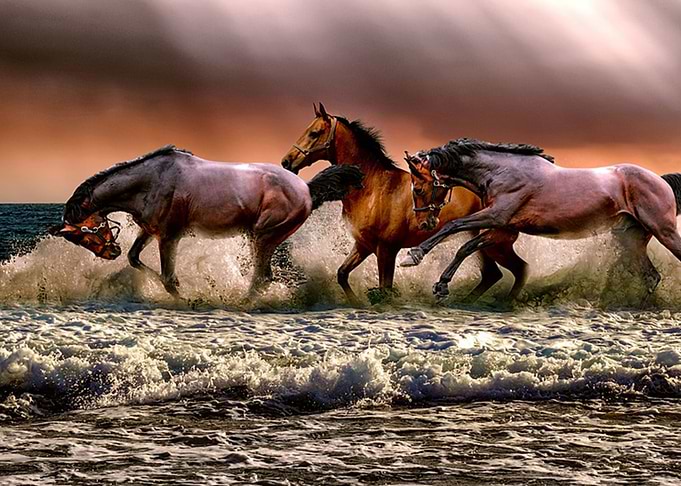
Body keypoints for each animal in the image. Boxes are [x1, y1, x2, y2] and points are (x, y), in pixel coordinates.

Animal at [50, 145, 364, 297]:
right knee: (263, 278)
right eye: (78, 238)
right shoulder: (150, 231)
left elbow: (168, 279)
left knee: (261, 278)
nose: (109, 252)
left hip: (263, 237)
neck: (150, 182)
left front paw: (188, 299)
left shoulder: (169, 237)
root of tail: (307, 189)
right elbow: (135, 259)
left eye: (86, 231)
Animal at [281, 103, 529, 304]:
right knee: (496, 273)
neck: (373, 188)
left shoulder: (386, 250)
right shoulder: (363, 246)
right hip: (485, 244)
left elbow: (385, 290)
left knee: (514, 270)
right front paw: (356, 303)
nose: (286, 162)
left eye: (314, 133)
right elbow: (342, 274)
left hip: (494, 243)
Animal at [400, 138, 681, 301]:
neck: (501, 172)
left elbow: (454, 226)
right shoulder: (502, 228)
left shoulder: (496, 216)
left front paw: (413, 255)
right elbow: (466, 247)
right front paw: (441, 286)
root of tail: (660, 180)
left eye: (418, 188)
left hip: (664, 231)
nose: (424, 223)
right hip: (631, 240)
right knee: (651, 277)